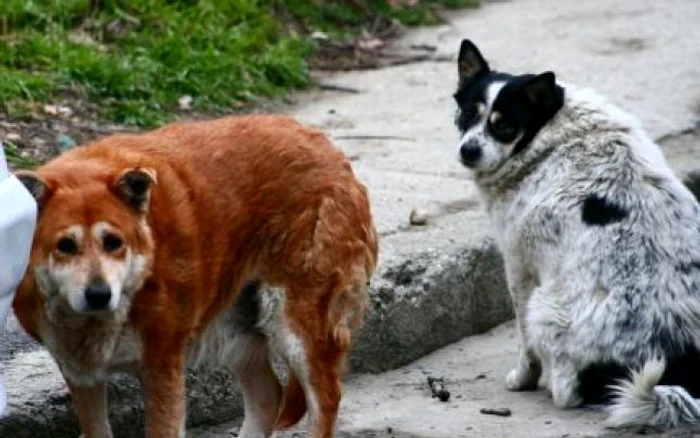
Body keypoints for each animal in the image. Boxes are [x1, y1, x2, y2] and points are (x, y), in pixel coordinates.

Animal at [10, 115, 378, 438]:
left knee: (325, 398)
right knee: (268, 395)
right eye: (65, 246)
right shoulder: (81, 375)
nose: (99, 295)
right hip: (233, 331)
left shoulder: (162, 367)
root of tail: (328, 147)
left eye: (114, 242)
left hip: (294, 327)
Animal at [454, 39, 700, 430]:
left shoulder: (518, 269)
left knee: (567, 391)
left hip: (543, 306)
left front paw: (522, 379)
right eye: (467, 114)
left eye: (504, 125)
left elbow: (525, 345)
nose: (468, 150)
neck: (548, 132)